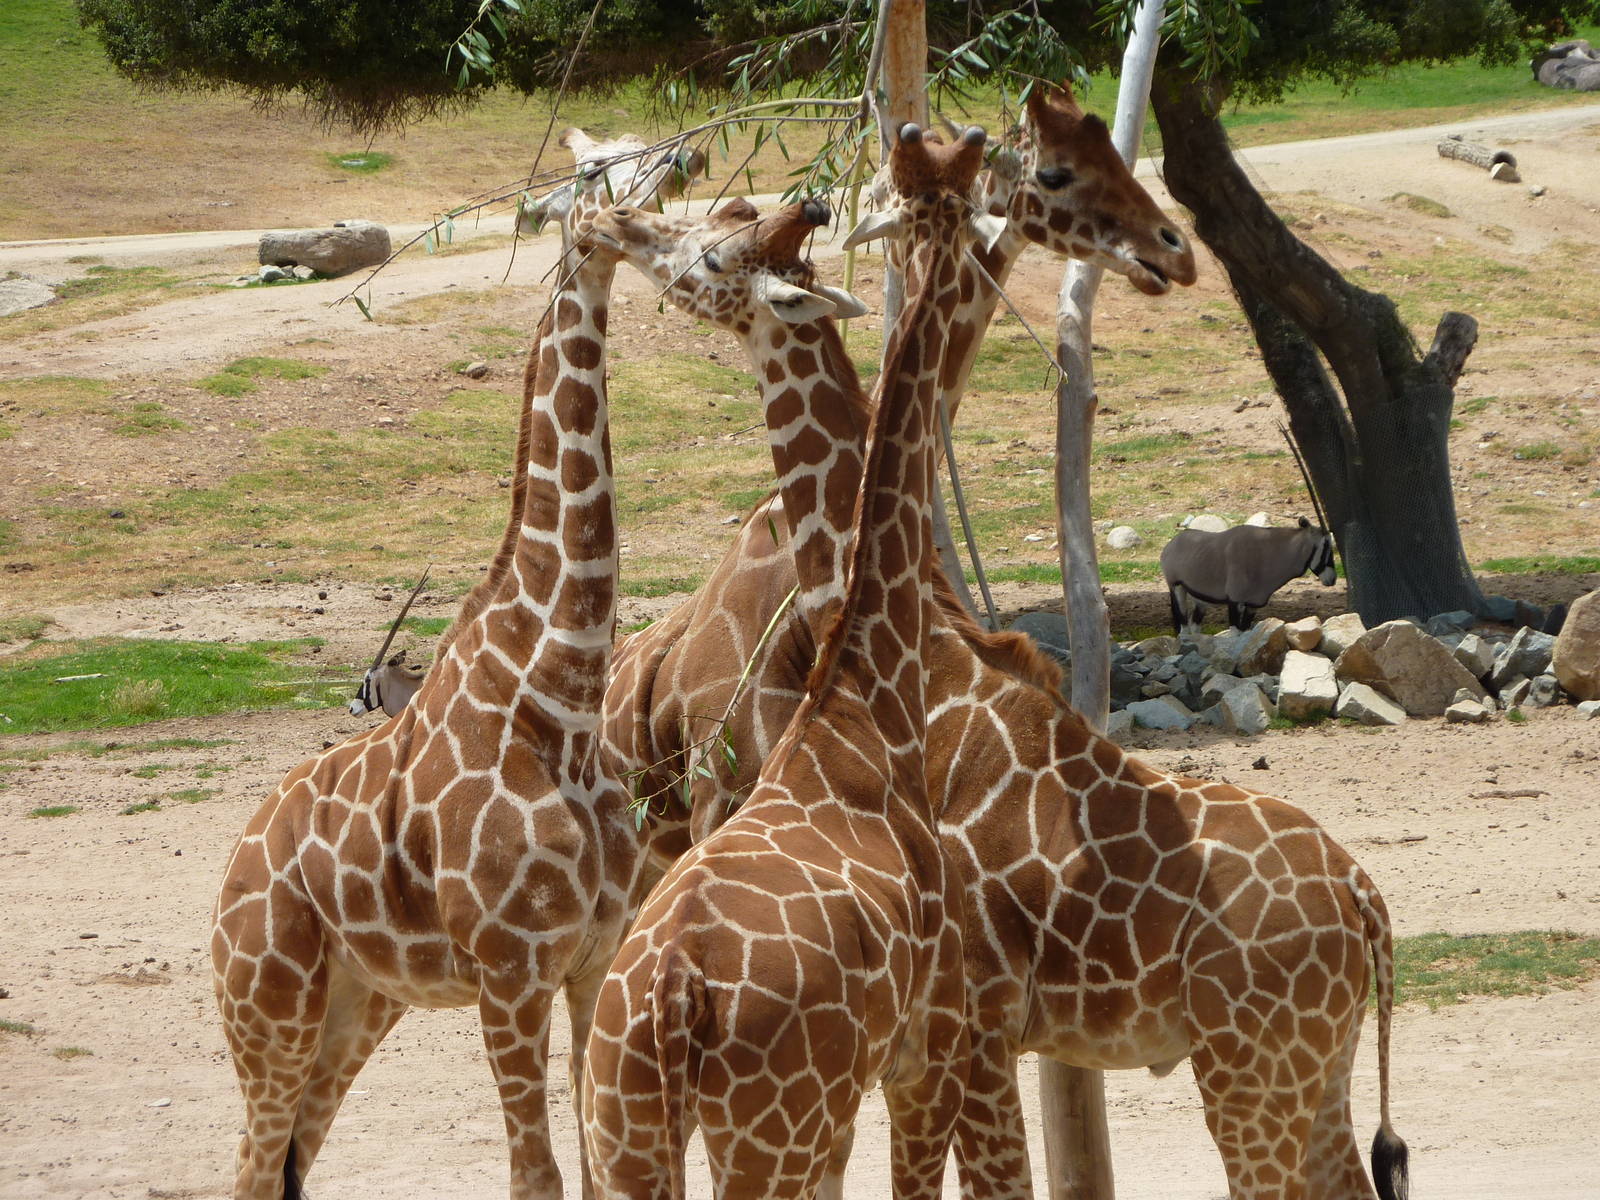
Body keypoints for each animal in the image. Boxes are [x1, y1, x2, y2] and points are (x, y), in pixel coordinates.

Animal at [210, 227, 639, 1200]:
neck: (560, 701)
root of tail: (232, 876)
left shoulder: (594, 959)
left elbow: (602, 1168)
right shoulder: (512, 974)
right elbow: (537, 1177)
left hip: (359, 1005)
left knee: (289, 1162)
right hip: (269, 1008)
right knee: (251, 1164)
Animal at [581, 124, 991, 1199]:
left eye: (718, 247)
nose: (612, 221)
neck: (856, 697)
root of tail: (671, 1002)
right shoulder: (923, 1042)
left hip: (645, 1120)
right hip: (769, 1124)